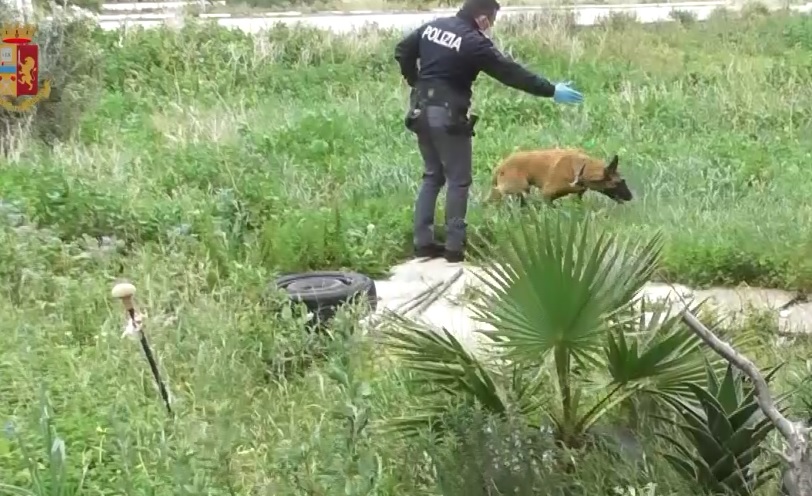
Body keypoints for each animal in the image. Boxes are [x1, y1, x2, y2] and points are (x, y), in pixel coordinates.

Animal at [486, 149, 632, 207]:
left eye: (624, 181)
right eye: (618, 183)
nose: (630, 197)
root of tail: (500, 166)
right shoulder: (547, 195)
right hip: (519, 188)